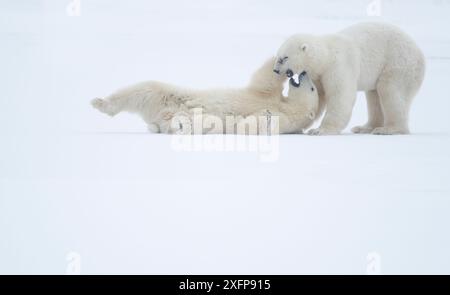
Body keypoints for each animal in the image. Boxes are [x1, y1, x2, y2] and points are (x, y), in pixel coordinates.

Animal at [89, 58, 318, 135]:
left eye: (313, 89)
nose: (303, 74)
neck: (289, 108)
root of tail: (160, 118)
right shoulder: (267, 97)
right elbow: (264, 81)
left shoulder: (284, 119)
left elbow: (257, 125)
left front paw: (252, 120)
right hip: (167, 95)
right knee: (142, 89)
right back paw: (99, 102)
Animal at [270, 22, 426, 136]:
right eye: (278, 56)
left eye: (285, 57)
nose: (275, 70)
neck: (325, 56)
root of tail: (420, 53)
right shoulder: (318, 75)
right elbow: (318, 96)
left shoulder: (338, 66)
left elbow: (340, 95)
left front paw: (319, 130)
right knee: (374, 95)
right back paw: (364, 127)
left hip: (398, 63)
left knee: (391, 92)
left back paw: (389, 129)